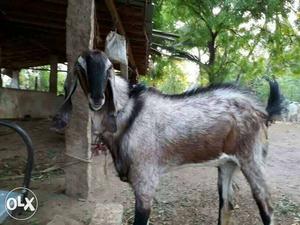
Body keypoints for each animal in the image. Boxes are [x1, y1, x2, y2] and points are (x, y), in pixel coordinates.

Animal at [55, 49, 282, 225]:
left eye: (109, 68)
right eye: (80, 68)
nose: (97, 99)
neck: (128, 113)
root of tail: (261, 111)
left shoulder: (146, 180)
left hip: (252, 159)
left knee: (267, 208)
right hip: (227, 164)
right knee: (226, 205)